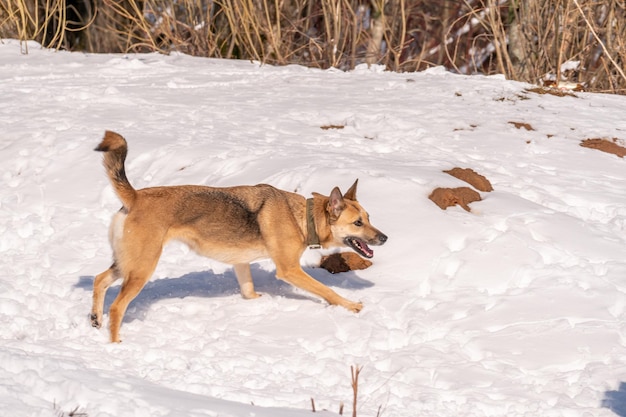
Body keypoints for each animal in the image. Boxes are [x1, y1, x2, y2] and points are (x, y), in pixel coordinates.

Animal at [91, 131, 388, 342]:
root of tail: (135, 197)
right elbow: (327, 290)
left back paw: (95, 318)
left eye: (369, 217)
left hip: (127, 263)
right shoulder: (289, 270)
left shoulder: (241, 263)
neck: (302, 217)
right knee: (117, 306)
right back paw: (116, 344)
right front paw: (350, 306)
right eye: (358, 223)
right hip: (142, 267)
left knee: (99, 279)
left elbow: (249, 290)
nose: (384, 238)